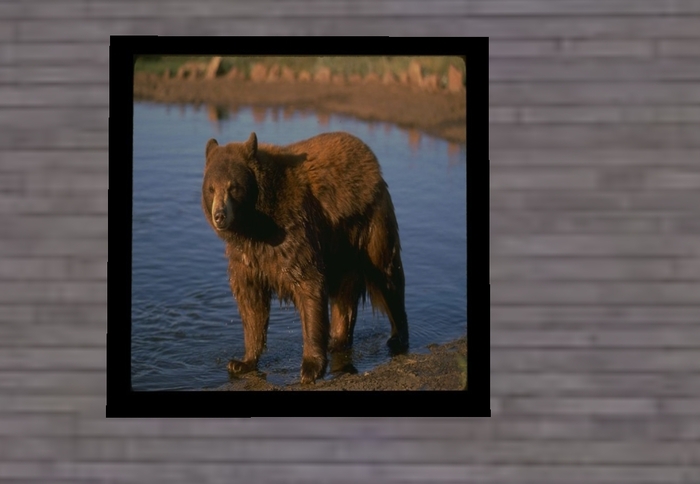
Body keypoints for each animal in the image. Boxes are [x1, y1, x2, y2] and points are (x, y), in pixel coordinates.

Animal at [202, 131, 409, 384]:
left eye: (233, 187)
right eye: (211, 188)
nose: (220, 215)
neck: (256, 225)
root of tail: (369, 155)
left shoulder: (294, 231)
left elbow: (308, 284)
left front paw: (310, 367)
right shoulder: (247, 256)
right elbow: (251, 301)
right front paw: (242, 361)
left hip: (370, 223)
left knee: (387, 274)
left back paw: (398, 335)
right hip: (342, 248)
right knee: (345, 295)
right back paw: (337, 340)